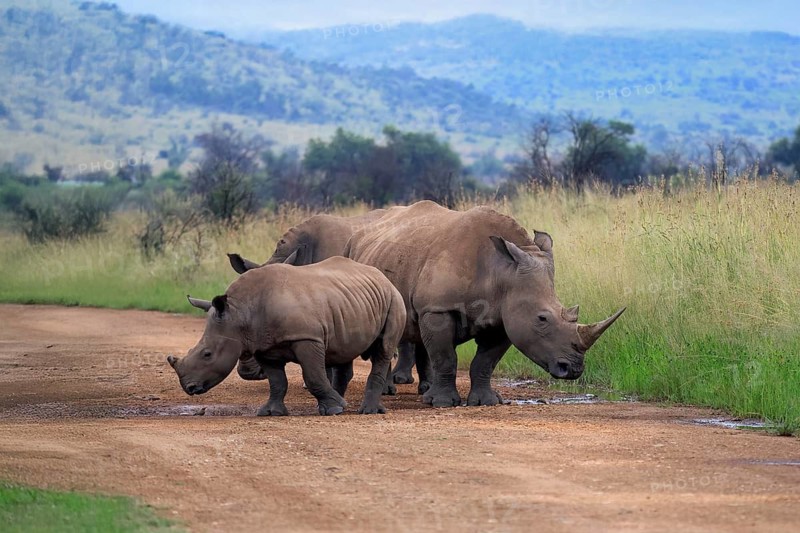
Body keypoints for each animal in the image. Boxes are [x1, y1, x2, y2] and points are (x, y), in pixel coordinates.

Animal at [166, 256, 406, 416]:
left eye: (207, 354)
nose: (189, 388)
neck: (240, 312)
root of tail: (382, 276)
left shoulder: (307, 338)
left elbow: (312, 376)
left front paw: (335, 409)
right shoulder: (264, 347)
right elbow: (277, 381)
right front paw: (271, 412)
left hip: (394, 298)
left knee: (383, 349)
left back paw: (367, 411)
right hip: (351, 300)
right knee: (345, 351)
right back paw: (345, 402)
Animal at [343, 200, 625, 408]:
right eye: (542, 319)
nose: (574, 369)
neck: (500, 272)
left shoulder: (505, 316)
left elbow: (485, 362)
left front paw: (486, 402)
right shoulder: (438, 308)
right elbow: (446, 357)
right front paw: (444, 403)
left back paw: (425, 391)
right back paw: (394, 392)